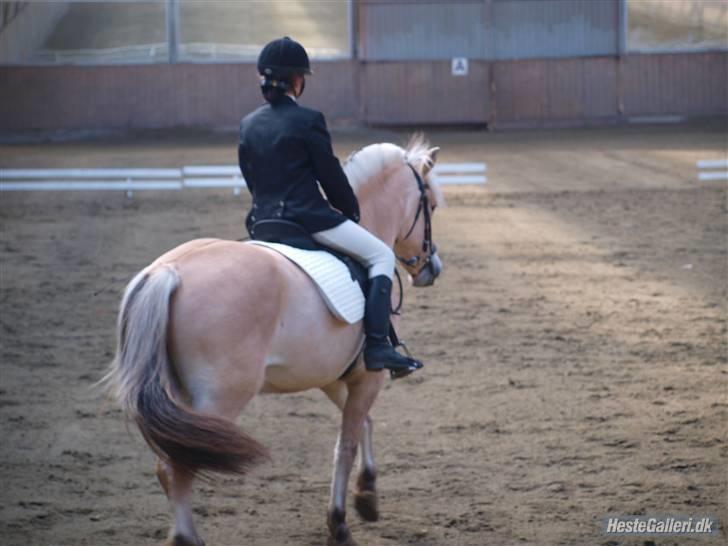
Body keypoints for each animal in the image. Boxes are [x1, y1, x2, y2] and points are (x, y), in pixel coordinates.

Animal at [102, 136, 444, 544]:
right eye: (432, 206)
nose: (432, 269)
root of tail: (167, 271)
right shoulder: (368, 376)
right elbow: (345, 445)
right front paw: (339, 524)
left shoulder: (333, 376)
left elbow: (365, 425)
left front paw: (367, 497)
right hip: (221, 396)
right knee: (176, 467)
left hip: (180, 398)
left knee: (172, 466)